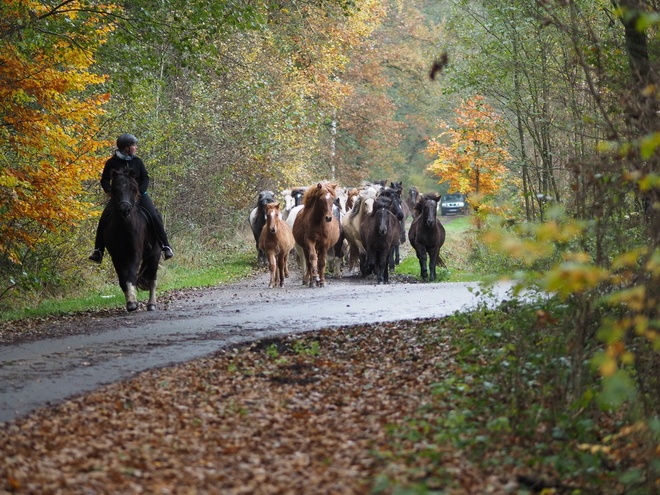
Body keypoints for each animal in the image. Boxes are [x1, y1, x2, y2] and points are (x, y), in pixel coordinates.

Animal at [105, 169, 164, 312]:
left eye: (133, 189)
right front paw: (130, 301)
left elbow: (131, 275)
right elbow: (123, 279)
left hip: (155, 255)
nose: (124, 209)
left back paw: (151, 304)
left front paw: (133, 302)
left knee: (152, 280)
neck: (124, 227)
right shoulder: (116, 256)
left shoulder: (135, 254)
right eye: (115, 188)